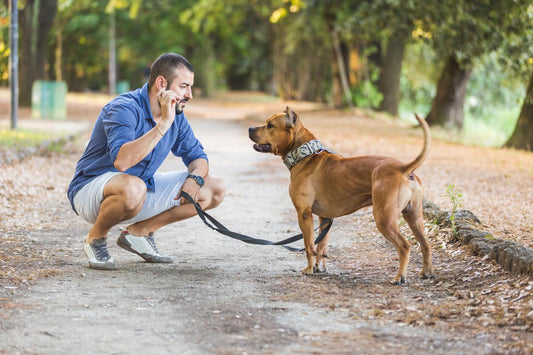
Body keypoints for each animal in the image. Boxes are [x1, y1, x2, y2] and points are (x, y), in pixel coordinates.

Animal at [248, 107, 432, 286]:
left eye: (270, 125)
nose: (250, 128)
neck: (305, 155)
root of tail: (403, 168)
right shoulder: (325, 217)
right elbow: (321, 246)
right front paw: (319, 267)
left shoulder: (304, 214)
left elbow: (309, 245)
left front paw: (309, 269)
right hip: (414, 218)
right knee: (425, 244)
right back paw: (427, 272)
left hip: (384, 219)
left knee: (404, 246)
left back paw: (399, 277)